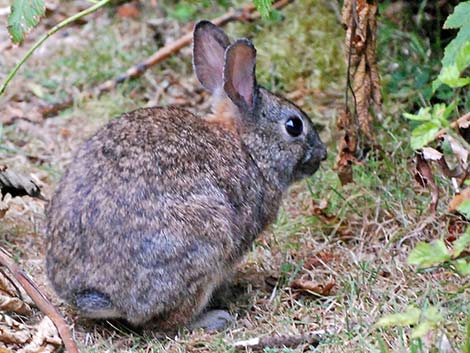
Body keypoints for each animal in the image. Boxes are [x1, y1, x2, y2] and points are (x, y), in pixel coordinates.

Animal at [47, 20, 326, 330]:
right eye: (294, 126)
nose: (322, 155)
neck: (247, 145)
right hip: (205, 241)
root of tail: (98, 295)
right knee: (166, 320)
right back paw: (212, 318)